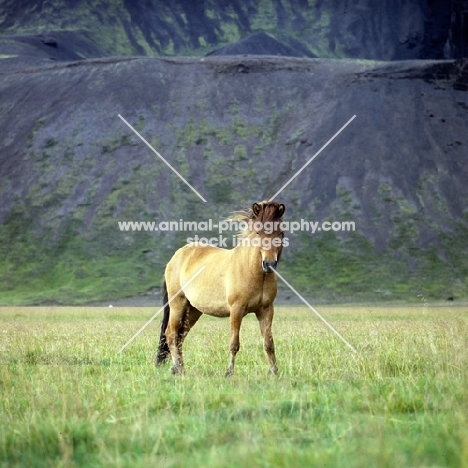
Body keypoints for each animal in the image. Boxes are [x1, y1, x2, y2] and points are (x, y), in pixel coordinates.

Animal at [156, 201, 286, 376]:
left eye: (281, 233)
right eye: (258, 232)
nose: (269, 264)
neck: (253, 272)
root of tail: (176, 256)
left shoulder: (266, 310)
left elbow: (269, 344)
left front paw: (275, 372)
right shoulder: (236, 309)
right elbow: (234, 344)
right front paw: (229, 373)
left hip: (193, 310)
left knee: (180, 337)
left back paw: (178, 368)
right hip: (178, 304)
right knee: (171, 334)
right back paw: (179, 369)